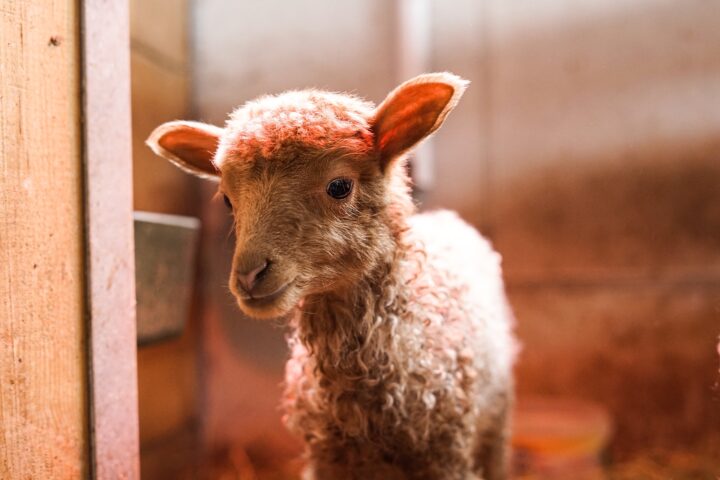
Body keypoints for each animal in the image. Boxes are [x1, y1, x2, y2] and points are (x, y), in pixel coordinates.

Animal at [148, 72, 516, 480]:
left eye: (339, 186)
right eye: (228, 200)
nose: (248, 276)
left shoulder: (445, 455)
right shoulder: (327, 458)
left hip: (495, 419)